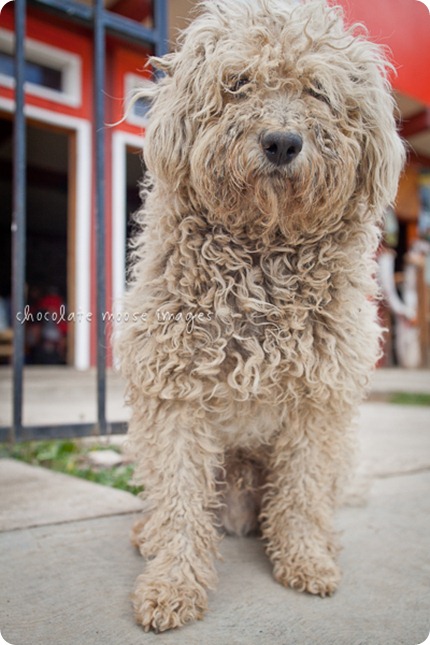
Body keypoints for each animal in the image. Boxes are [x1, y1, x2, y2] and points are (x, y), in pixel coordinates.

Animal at [116, 0, 404, 632]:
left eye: (317, 90)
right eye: (239, 82)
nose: (280, 142)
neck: (263, 256)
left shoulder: (319, 404)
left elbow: (300, 493)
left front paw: (306, 560)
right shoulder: (174, 397)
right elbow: (180, 502)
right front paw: (172, 584)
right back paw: (147, 534)